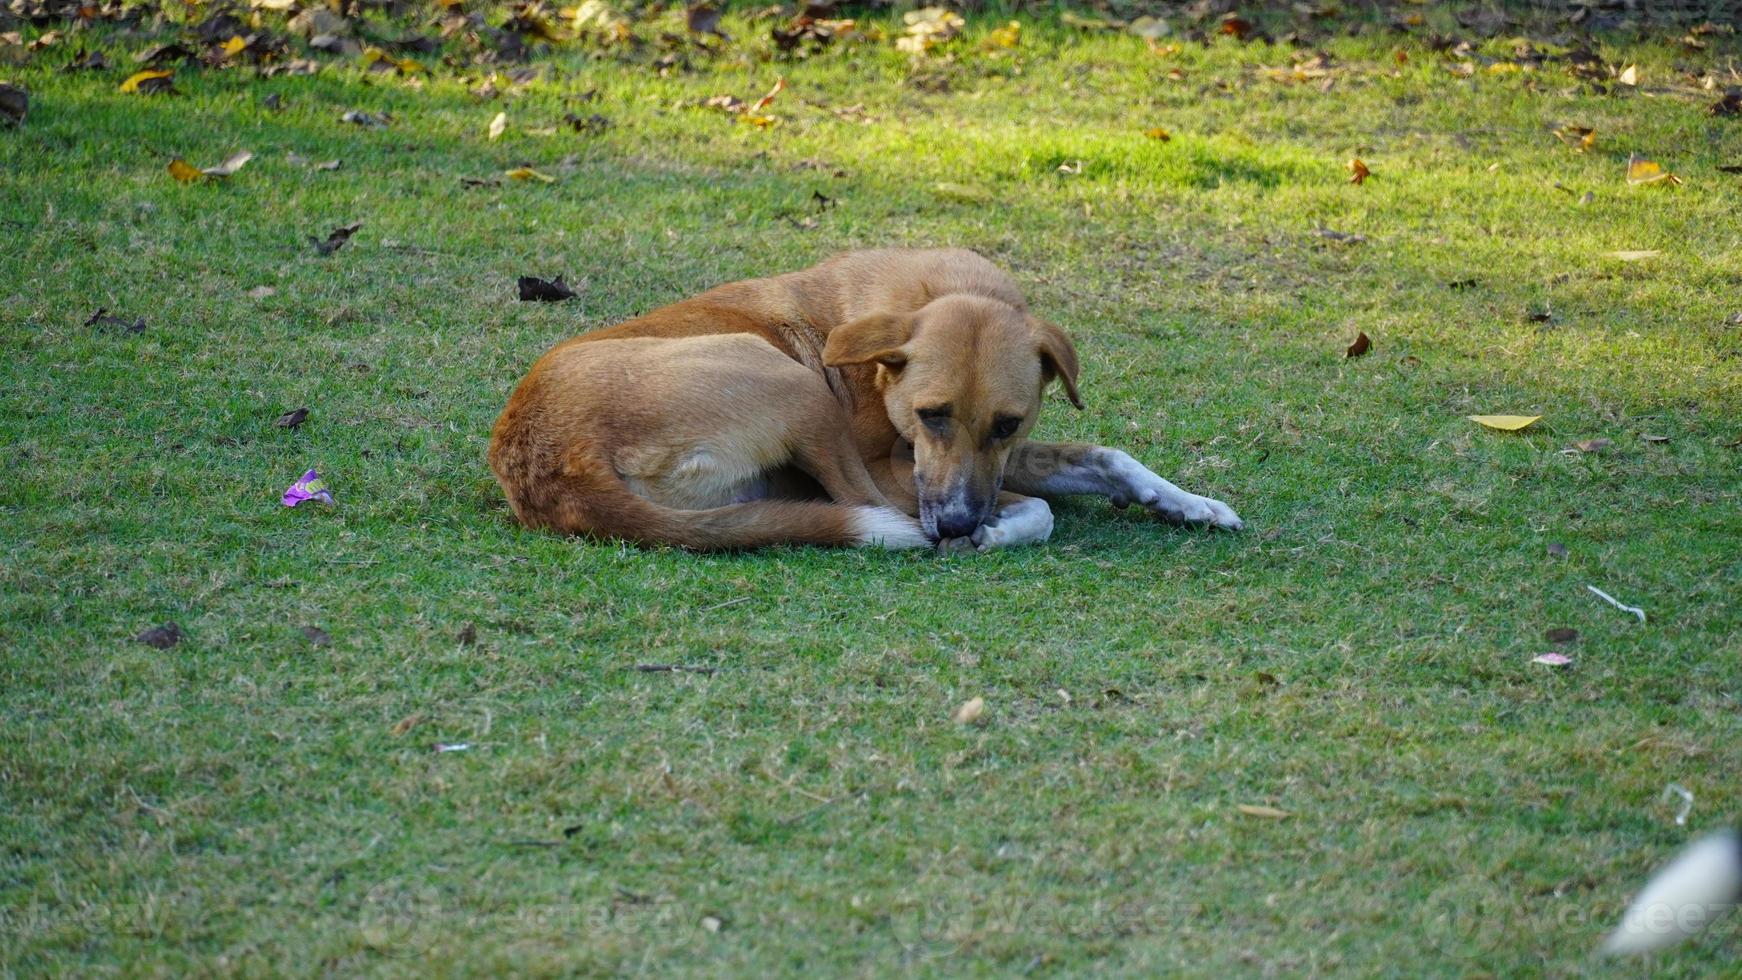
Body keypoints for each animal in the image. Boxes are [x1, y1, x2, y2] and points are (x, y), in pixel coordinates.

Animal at [487, 247, 1240, 553]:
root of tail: (555, 466)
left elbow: (1104, 455)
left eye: (1007, 424)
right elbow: (1044, 508)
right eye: (931, 415)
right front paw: (1000, 530)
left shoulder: (995, 459)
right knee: (864, 506)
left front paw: (1191, 503)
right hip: (794, 387)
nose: (959, 526)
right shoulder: (903, 468)